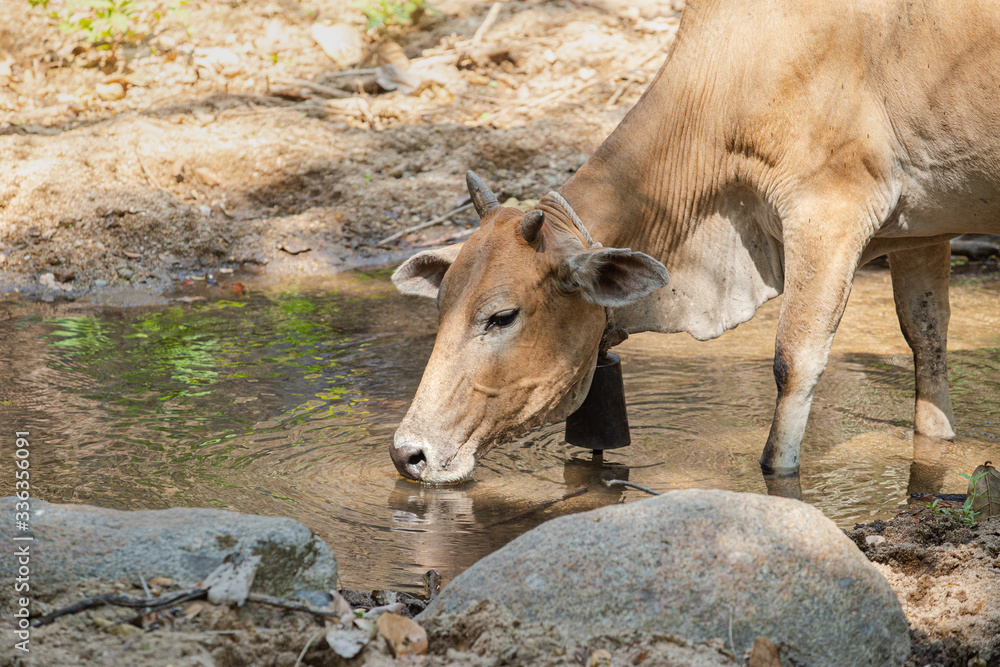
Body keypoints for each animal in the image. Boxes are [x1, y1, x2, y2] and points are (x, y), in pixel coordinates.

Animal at [389, 0, 1000, 484]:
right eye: (440, 306)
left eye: (501, 316)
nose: (408, 453)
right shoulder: (919, 228)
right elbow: (926, 337)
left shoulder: (830, 210)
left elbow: (794, 361)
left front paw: (779, 473)